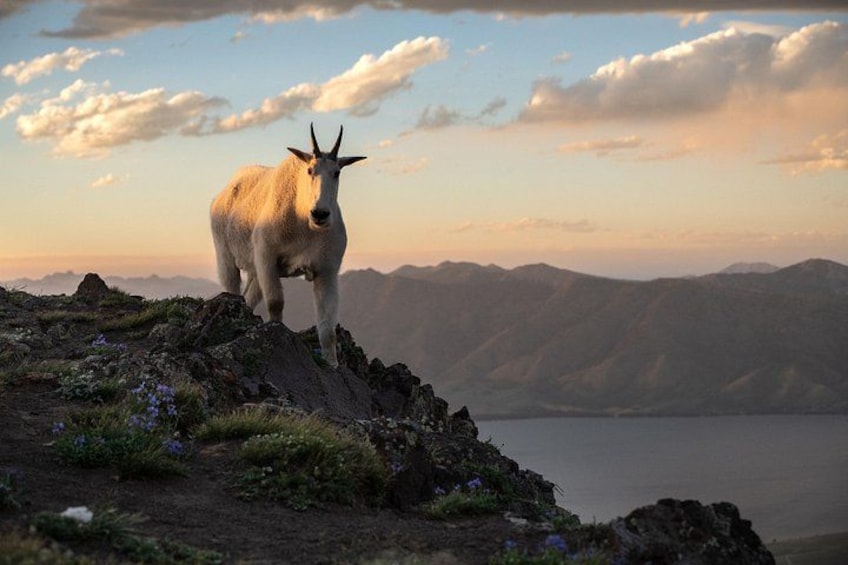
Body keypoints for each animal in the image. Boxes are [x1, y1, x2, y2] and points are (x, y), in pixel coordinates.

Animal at [210, 124, 366, 367]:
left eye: (337, 172)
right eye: (310, 170)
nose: (320, 214)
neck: (305, 225)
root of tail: (224, 192)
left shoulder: (327, 270)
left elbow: (328, 326)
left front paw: (331, 363)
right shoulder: (267, 256)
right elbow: (276, 303)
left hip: (255, 269)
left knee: (249, 296)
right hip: (224, 253)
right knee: (232, 289)